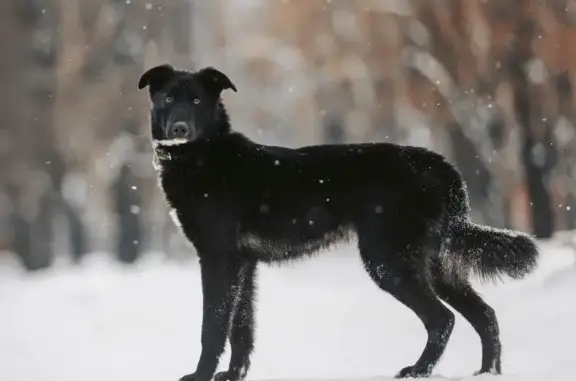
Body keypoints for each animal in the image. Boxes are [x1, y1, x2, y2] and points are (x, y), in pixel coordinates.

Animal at [138, 64, 540, 380]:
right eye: (168, 99)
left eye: (196, 102)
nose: (179, 129)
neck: (203, 157)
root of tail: (439, 165)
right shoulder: (244, 264)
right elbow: (242, 328)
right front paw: (233, 375)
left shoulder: (218, 259)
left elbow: (213, 326)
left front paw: (200, 375)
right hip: (434, 265)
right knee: (484, 314)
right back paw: (487, 373)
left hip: (389, 261)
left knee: (443, 319)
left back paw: (418, 371)